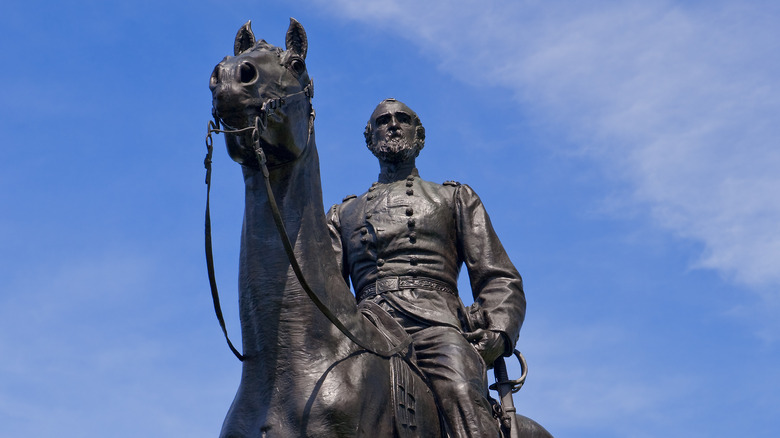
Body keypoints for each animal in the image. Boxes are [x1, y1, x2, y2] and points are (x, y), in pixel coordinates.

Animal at [204, 18, 552, 438]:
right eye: (234, 56)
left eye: (296, 64)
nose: (230, 76)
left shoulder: (468, 200)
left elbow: (499, 275)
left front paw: (489, 340)